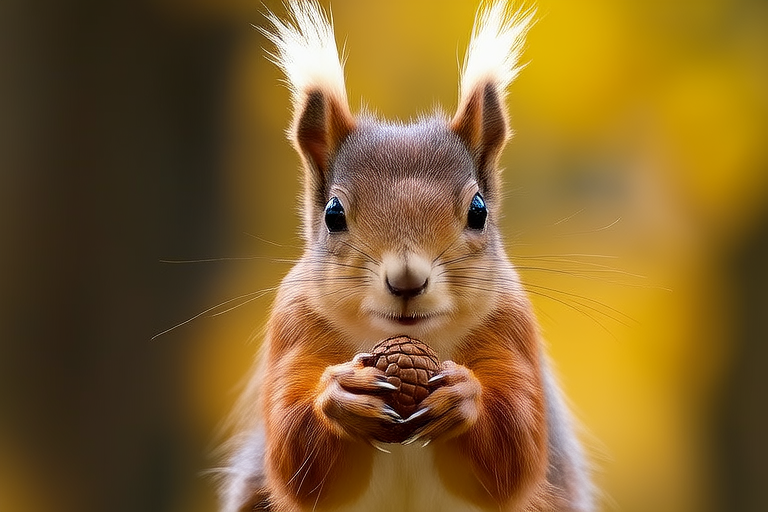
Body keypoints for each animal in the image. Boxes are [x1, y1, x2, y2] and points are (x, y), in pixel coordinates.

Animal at [218, 1, 595, 511]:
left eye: (478, 211)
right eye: (333, 213)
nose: (407, 281)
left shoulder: (511, 325)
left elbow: (514, 452)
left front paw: (463, 396)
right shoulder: (294, 325)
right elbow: (299, 460)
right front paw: (340, 393)